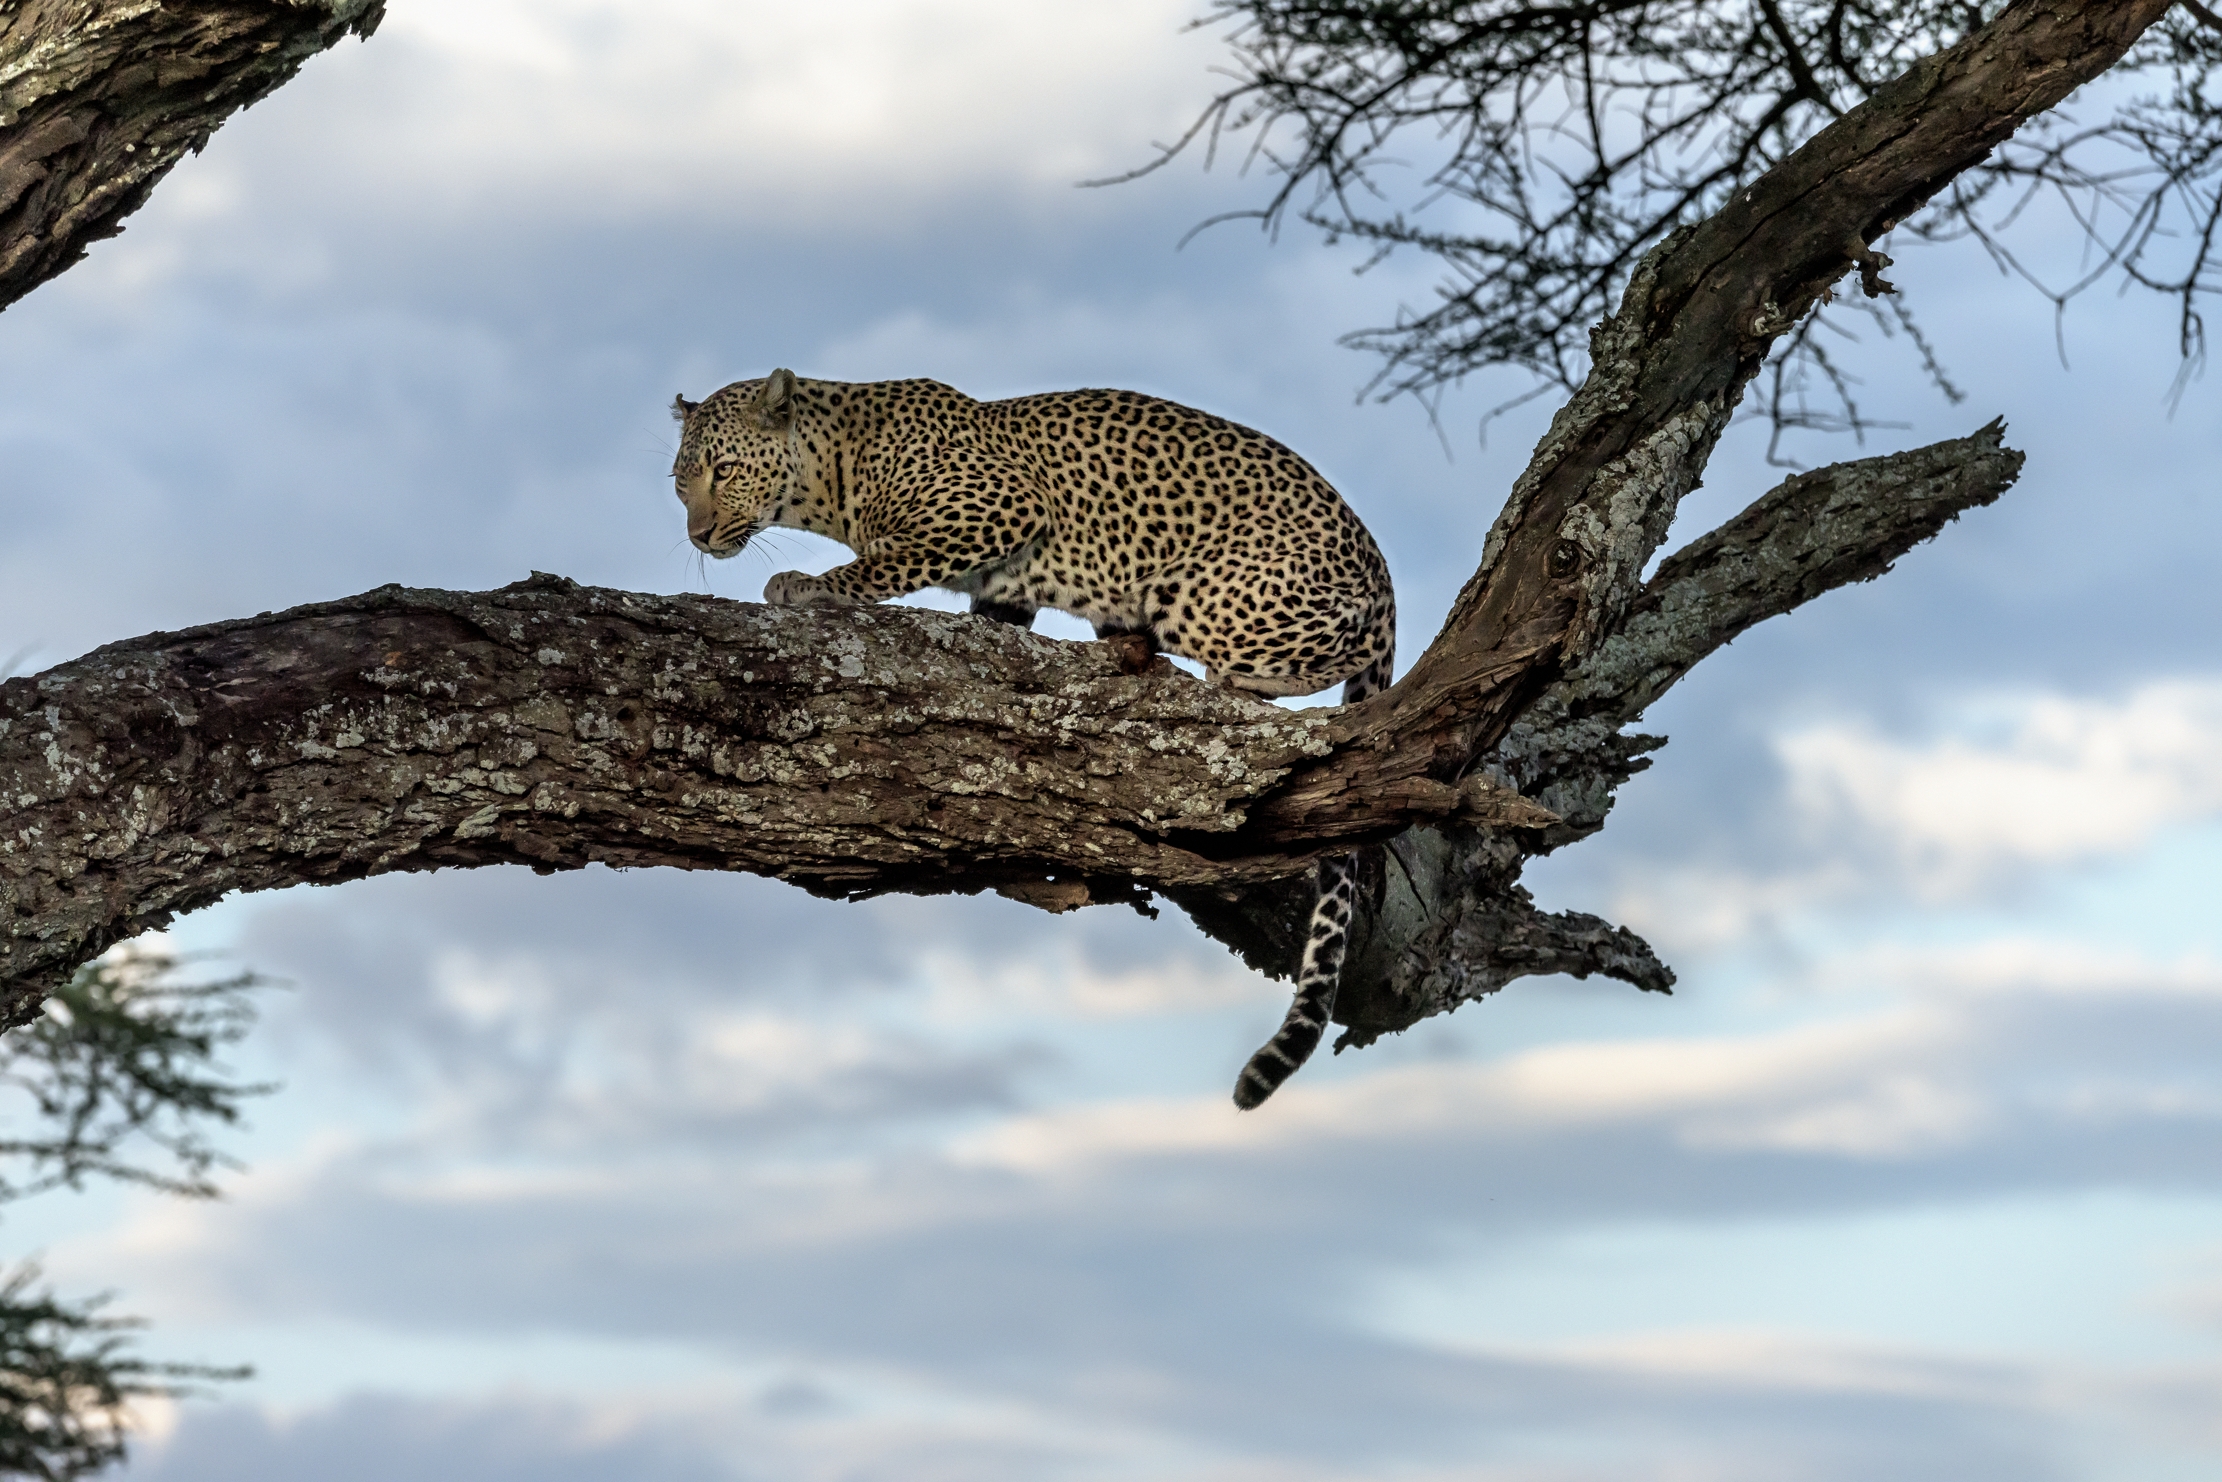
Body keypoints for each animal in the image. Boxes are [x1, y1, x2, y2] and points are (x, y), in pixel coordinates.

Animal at [670, 369, 1397, 1108]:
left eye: (723, 470)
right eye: (680, 480)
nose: (699, 535)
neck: (835, 472)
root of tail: (1384, 578)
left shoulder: (998, 507)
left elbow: (883, 562)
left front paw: (806, 586)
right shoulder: (1003, 591)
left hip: (1202, 593)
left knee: (1311, 657)